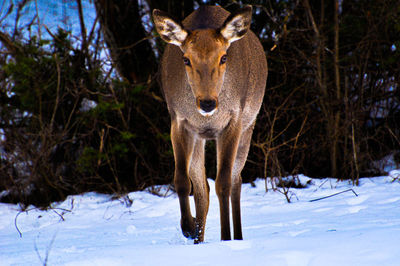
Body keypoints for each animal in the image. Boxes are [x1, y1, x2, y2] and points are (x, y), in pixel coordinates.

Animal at [155, 4, 268, 243]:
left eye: (223, 57)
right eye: (186, 59)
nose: (207, 103)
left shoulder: (233, 120)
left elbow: (223, 183)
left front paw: (225, 238)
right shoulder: (178, 121)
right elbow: (181, 180)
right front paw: (188, 227)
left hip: (249, 125)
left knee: (236, 180)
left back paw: (237, 237)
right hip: (200, 138)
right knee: (203, 189)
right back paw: (198, 237)